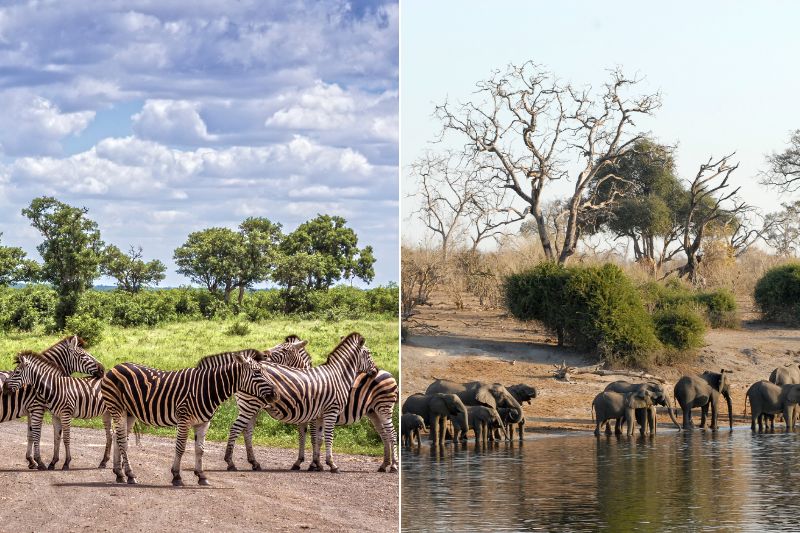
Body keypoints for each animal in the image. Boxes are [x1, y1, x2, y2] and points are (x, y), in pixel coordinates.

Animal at [0, 334, 103, 468]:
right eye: (83, 355)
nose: (103, 369)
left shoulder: (31, 410)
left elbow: (30, 435)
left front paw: (31, 460)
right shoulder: (37, 407)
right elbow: (36, 435)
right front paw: (38, 461)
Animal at [100, 352, 278, 484]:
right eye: (257, 373)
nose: (276, 394)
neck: (206, 388)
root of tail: (115, 367)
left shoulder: (204, 423)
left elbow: (200, 449)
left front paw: (201, 476)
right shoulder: (184, 419)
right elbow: (180, 447)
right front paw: (176, 476)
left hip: (129, 413)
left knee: (118, 437)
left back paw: (119, 473)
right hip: (118, 408)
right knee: (122, 440)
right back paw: (130, 474)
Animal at [212, 334, 400, 472]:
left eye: (283, 349)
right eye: (369, 354)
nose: (374, 371)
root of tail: (389, 374)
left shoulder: (313, 414)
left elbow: (313, 438)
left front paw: (312, 463)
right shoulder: (321, 413)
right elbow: (318, 438)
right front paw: (322, 464)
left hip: (377, 410)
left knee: (386, 434)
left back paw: (386, 465)